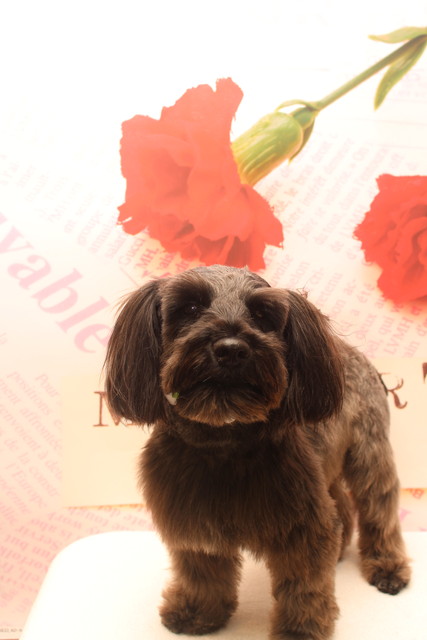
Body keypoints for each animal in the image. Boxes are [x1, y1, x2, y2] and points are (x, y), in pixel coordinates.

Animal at [104, 265, 410, 639]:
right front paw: (197, 613)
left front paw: (299, 630)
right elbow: (201, 574)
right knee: (341, 505)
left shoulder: (303, 525)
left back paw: (388, 568)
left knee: (379, 507)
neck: (223, 442)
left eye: (263, 315)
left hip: (369, 453)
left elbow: (304, 586)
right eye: (189, 308)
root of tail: (350, 352)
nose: (231, 349)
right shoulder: (193, 522)